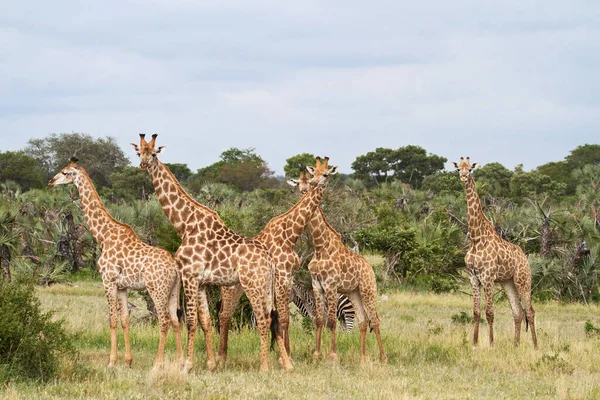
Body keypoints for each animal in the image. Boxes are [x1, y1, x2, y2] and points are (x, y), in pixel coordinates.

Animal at [48, 156, 183, 368]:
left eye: (65, 172)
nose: (50, 181)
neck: (103, 235)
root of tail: (175, 268)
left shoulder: (108, 281)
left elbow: (112, 319)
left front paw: (111, 362)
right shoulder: (122, 286)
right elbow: (125, 319)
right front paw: (128, 361)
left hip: (157, 289)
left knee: (164, 320)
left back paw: (158, 363)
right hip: (172, 290)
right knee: (175, 320)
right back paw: (180, 361)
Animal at [131, 135, 292, 376]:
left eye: (153, 153)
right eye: (138, 152)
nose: (143, 165)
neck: (184, 224)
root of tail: (270, 260)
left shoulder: (189, 276)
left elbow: (191, 320)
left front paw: (187, 365)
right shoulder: (201, 282)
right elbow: (205, 320)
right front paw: (211, 364)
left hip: (252, 284)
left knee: (263, 319)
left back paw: (264, 367)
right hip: (266, 285)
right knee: (274, 317)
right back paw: (287, 364)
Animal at [217, 156, 338, 360]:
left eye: (326, 174)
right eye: (313, 174)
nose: (312, 185)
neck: (290, 234)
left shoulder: (289, 278)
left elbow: (283, 318)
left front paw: (285, 352)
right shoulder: (281, 276)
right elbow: (282, 318)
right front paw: (284, 355)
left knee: (225, 315)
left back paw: (223, 355)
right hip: (231, 288)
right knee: (224, 315)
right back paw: (220, 356)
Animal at [290, 159, 384, 362]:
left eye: (325, 174)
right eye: (312, 175)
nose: (309, 188)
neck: (320, 246)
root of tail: (370, 267)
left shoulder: (331, 285)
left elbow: (331, 322)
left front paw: (333, 356)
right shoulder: (317, 285)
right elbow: (319, 320)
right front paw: (316, 354)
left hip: (368, 290)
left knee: (375, 320)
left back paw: (383, 357)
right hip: (354, 292)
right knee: (363, 320)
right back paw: (362, 357)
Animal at [454, 158, 540, 348]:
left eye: (470, 169)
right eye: (458, 169)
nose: (463, 177)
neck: (476, 238)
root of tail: (524, 257)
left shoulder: (487, 277)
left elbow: (489, 312)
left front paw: (491, 343)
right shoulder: (473, 277)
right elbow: (476, 312)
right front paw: (474, 343)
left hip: (523, 279)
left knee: (530, 310)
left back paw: (535, 346)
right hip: (508, 282)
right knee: (518, 311)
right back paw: (516, 345)